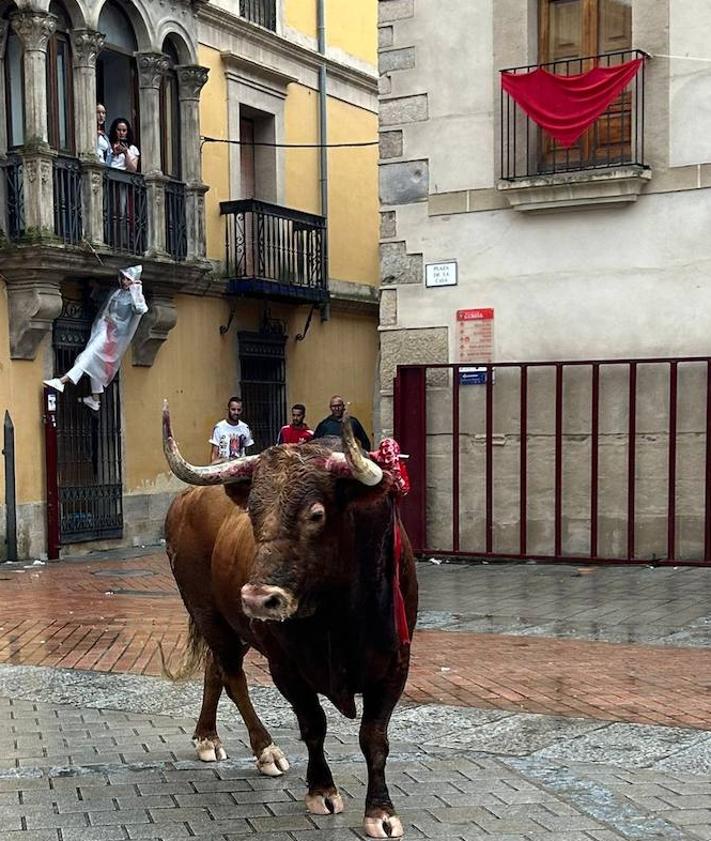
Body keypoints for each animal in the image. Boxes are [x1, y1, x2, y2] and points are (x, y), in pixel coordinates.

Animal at [161, 404, 418, 836]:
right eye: (252, 512)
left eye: (316, 513)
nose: (257, 599)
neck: (338, 613)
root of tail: (186, 497)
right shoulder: (285, 667)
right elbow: (313, 724)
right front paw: (322, 791)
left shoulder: (395, 663)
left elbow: (374, 737)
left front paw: (381, 812)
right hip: (208, 613)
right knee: (231, 675)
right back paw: (264, 749)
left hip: (231, 624)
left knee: (215, 669)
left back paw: (207, 737)